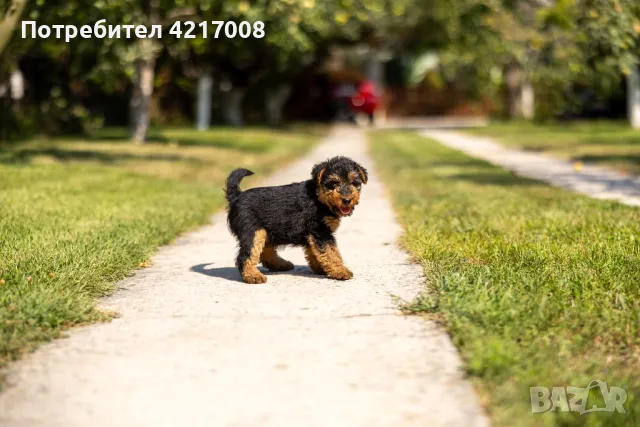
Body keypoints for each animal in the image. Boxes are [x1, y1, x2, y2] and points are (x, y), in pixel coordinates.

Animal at [225, 157, 368, 284]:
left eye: (354, 182)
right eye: (333, 183)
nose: (347, 200)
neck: (318, 198)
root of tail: (237, 197)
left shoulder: (313, 234)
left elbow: (316, 252)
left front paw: (321, 268)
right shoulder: (320, 232)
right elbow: (332, 253)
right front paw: (341, 271)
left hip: (265, 231)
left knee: (264, 252)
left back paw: (281, 265)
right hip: (253, 231)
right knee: (246, 256)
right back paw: (253, 276)